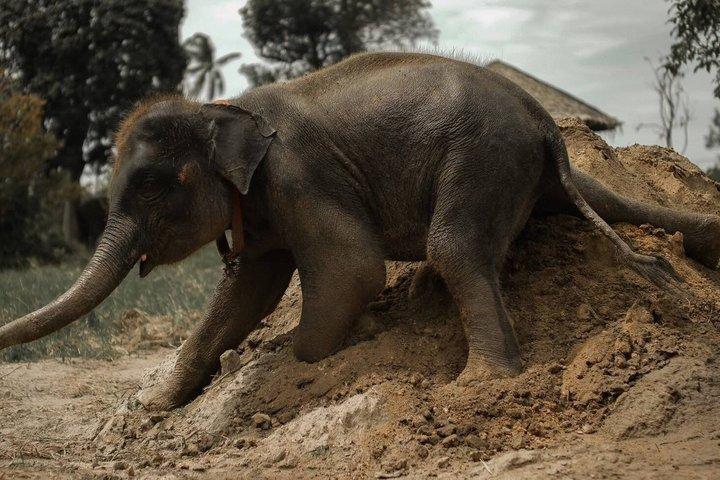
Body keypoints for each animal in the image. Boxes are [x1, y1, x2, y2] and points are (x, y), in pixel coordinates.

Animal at [1, 52, 719, 411]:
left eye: (151, 186)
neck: (223, 109)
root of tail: (545, 122)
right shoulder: (264, 203)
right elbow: (247, 292)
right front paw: (156, 403)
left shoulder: (299, 177)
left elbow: (352, 270)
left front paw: (309, 355)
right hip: (524, 170)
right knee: (597, 201)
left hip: (482, 157)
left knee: (453, 249)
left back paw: (481, 384)